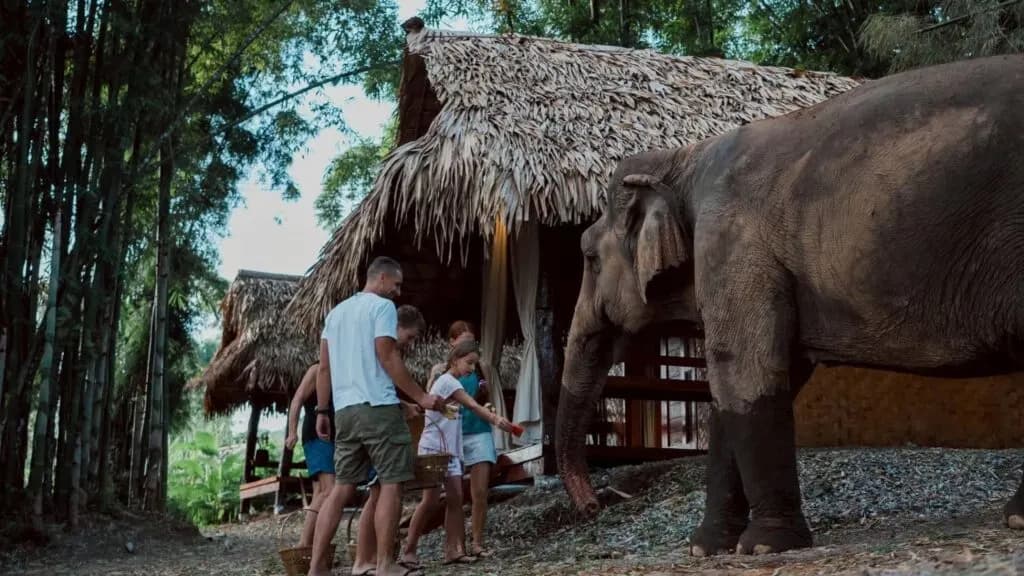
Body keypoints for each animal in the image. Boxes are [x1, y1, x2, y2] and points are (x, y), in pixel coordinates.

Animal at [555, 54, 1024, 557]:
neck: (682, 158)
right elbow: (737, 387)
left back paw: (1017, 517)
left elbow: (748, 372)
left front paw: (763, 546)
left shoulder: (734, 245)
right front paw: (707, 547)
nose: (595, 504)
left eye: (588, 257)